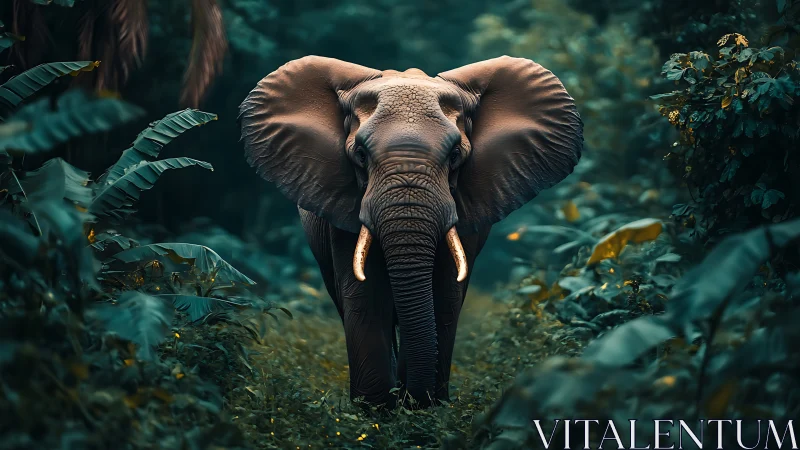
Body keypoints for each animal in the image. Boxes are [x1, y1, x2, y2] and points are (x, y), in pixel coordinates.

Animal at [238, 55, 583, 409]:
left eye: (455, 156)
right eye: (360, 155)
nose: (409, 398)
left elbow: (444, 295)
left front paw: (423, 407)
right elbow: (365, 296)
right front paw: (376, 410)